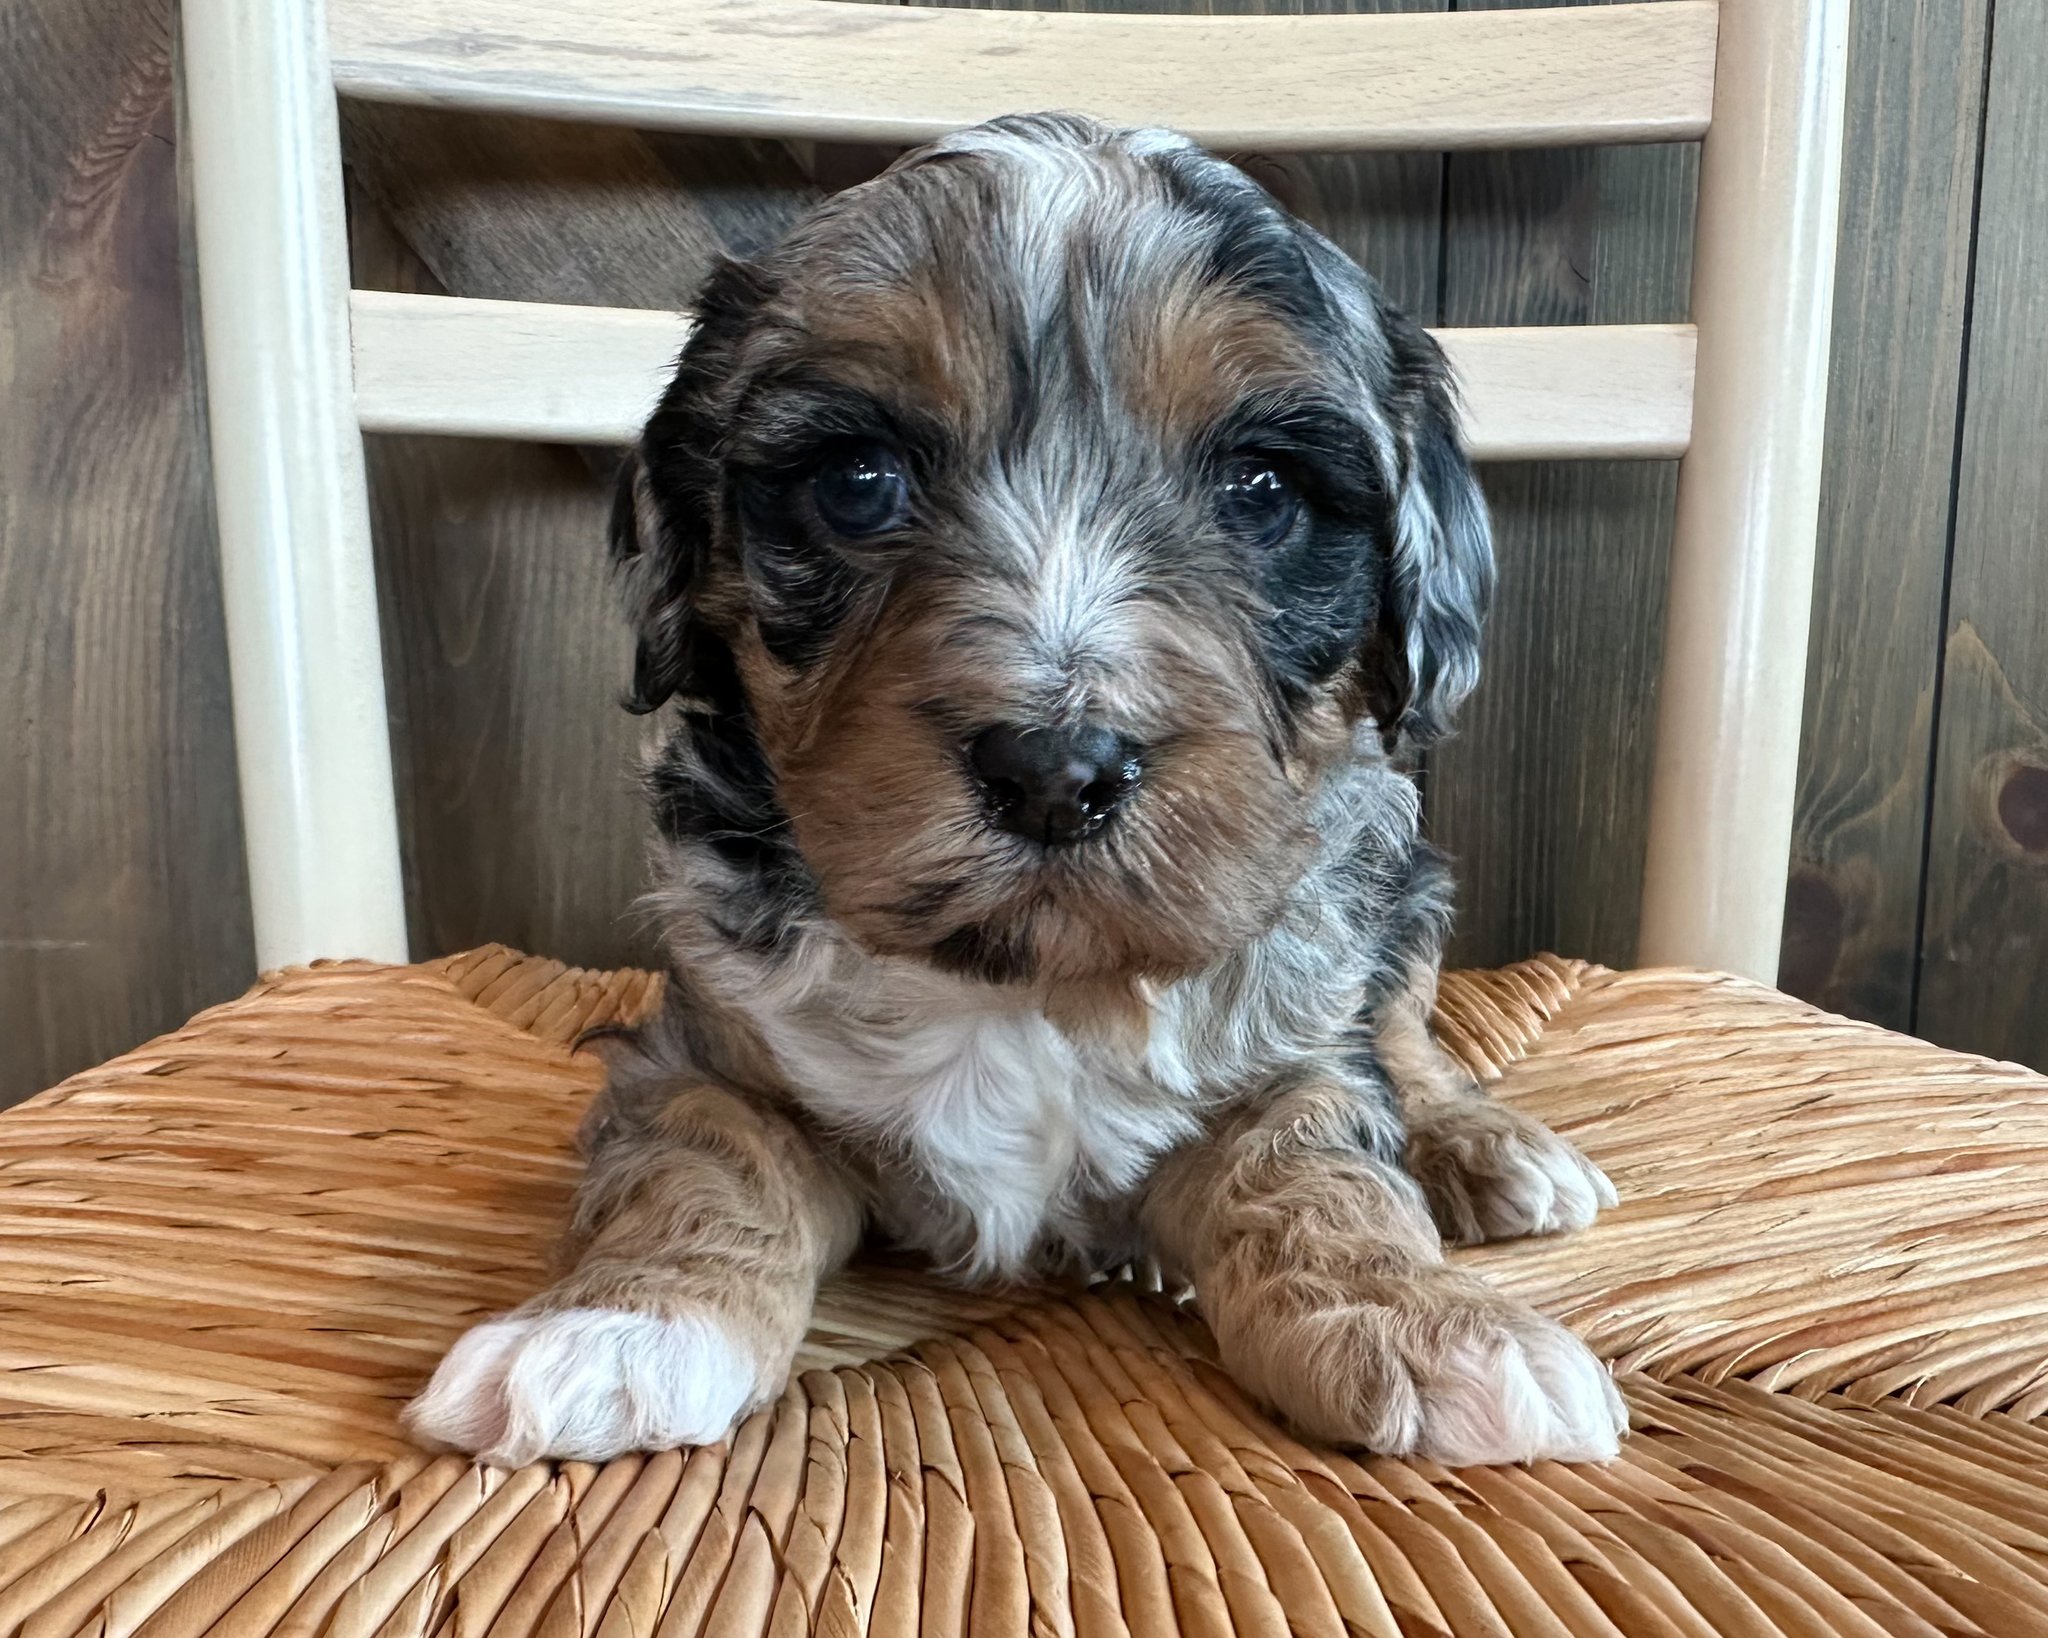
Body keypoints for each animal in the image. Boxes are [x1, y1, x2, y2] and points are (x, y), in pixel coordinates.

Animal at [399, 118, 1622, 1474]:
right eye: (857, 480)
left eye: (1261, 492)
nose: (1054, 770)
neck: (1028, 979)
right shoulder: (708, 1051)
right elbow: (704, 1163)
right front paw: (614, 1327)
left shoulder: (1293, 1058)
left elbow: (1323, 1170)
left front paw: (1425, 1322)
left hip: (1396, 875)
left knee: (1405, 1028)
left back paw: (1488, 1148)